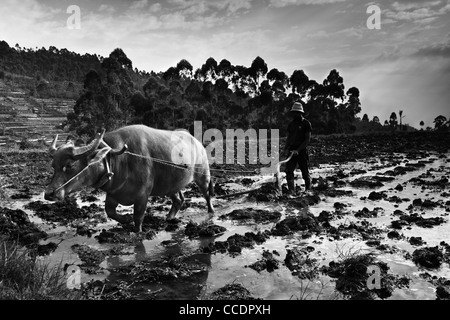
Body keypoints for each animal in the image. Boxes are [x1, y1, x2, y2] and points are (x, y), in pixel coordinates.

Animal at [44, 124, 214, 231]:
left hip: (203, 175)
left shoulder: (142, 196)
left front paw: (136, 230)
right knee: (179, 199)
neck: (117, 161)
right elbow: (109, 212)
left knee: (207, 194)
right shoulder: (113, 194)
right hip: (170, 184)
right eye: (53, 166)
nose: (49, 194)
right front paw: (125, 220)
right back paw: (169, 218)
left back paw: (211, 211)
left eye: (69, 165)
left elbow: (138, 218)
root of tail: (197, 142)